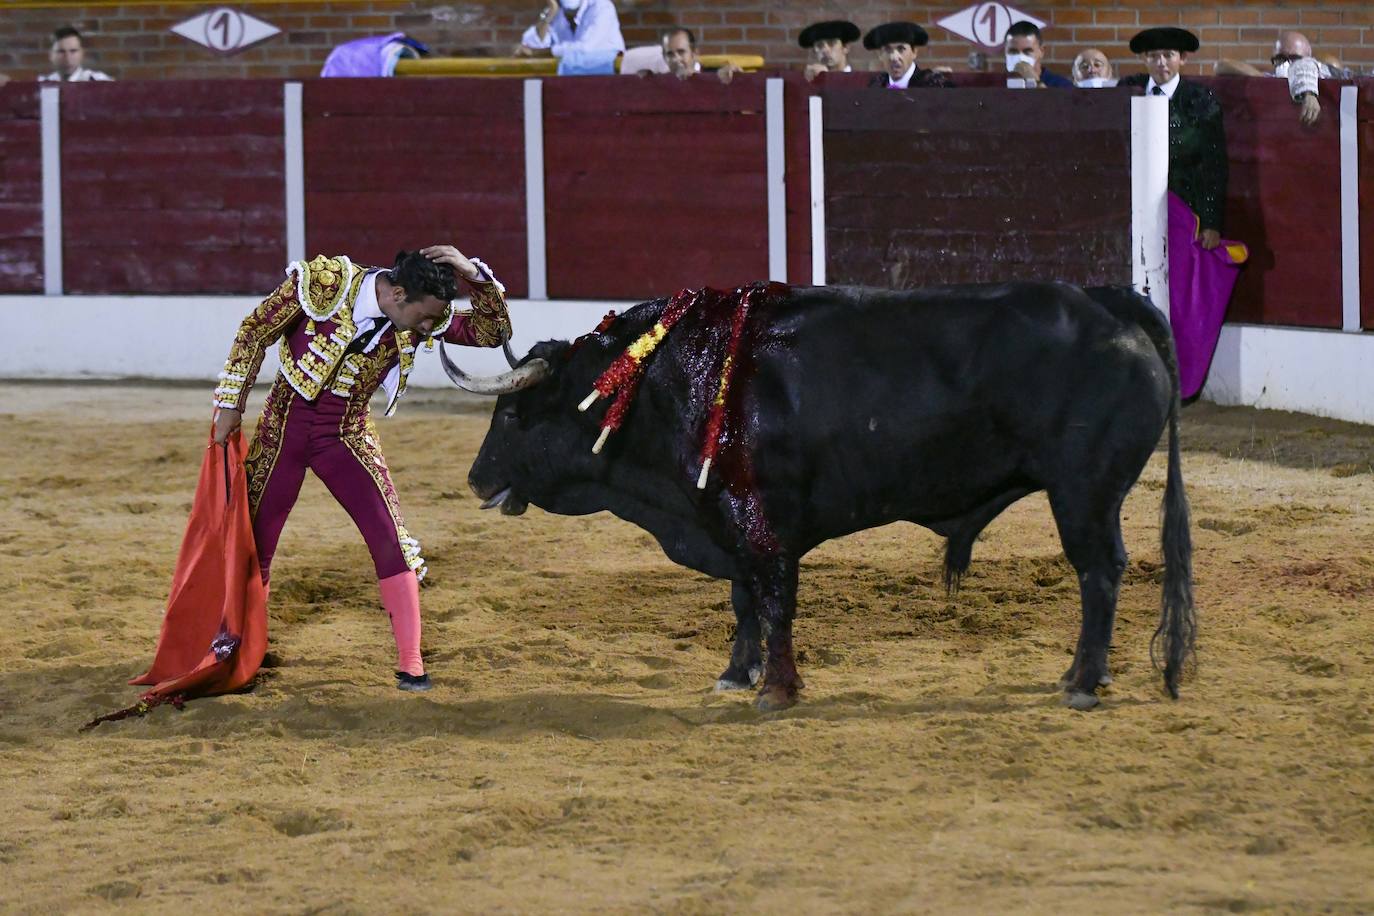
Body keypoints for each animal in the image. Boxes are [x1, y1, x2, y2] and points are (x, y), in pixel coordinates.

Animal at [450, 282, 1192, 714]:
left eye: (512, 416)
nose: (476, 479)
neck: (667, 383)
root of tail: (1109, 306)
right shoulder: (728, 523)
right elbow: (745, 601)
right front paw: (737, 674)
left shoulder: (763, 524)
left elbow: (774, 600)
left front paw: (777, 690)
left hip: (1083, 494)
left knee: (1100, 573)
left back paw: (1081, 682)